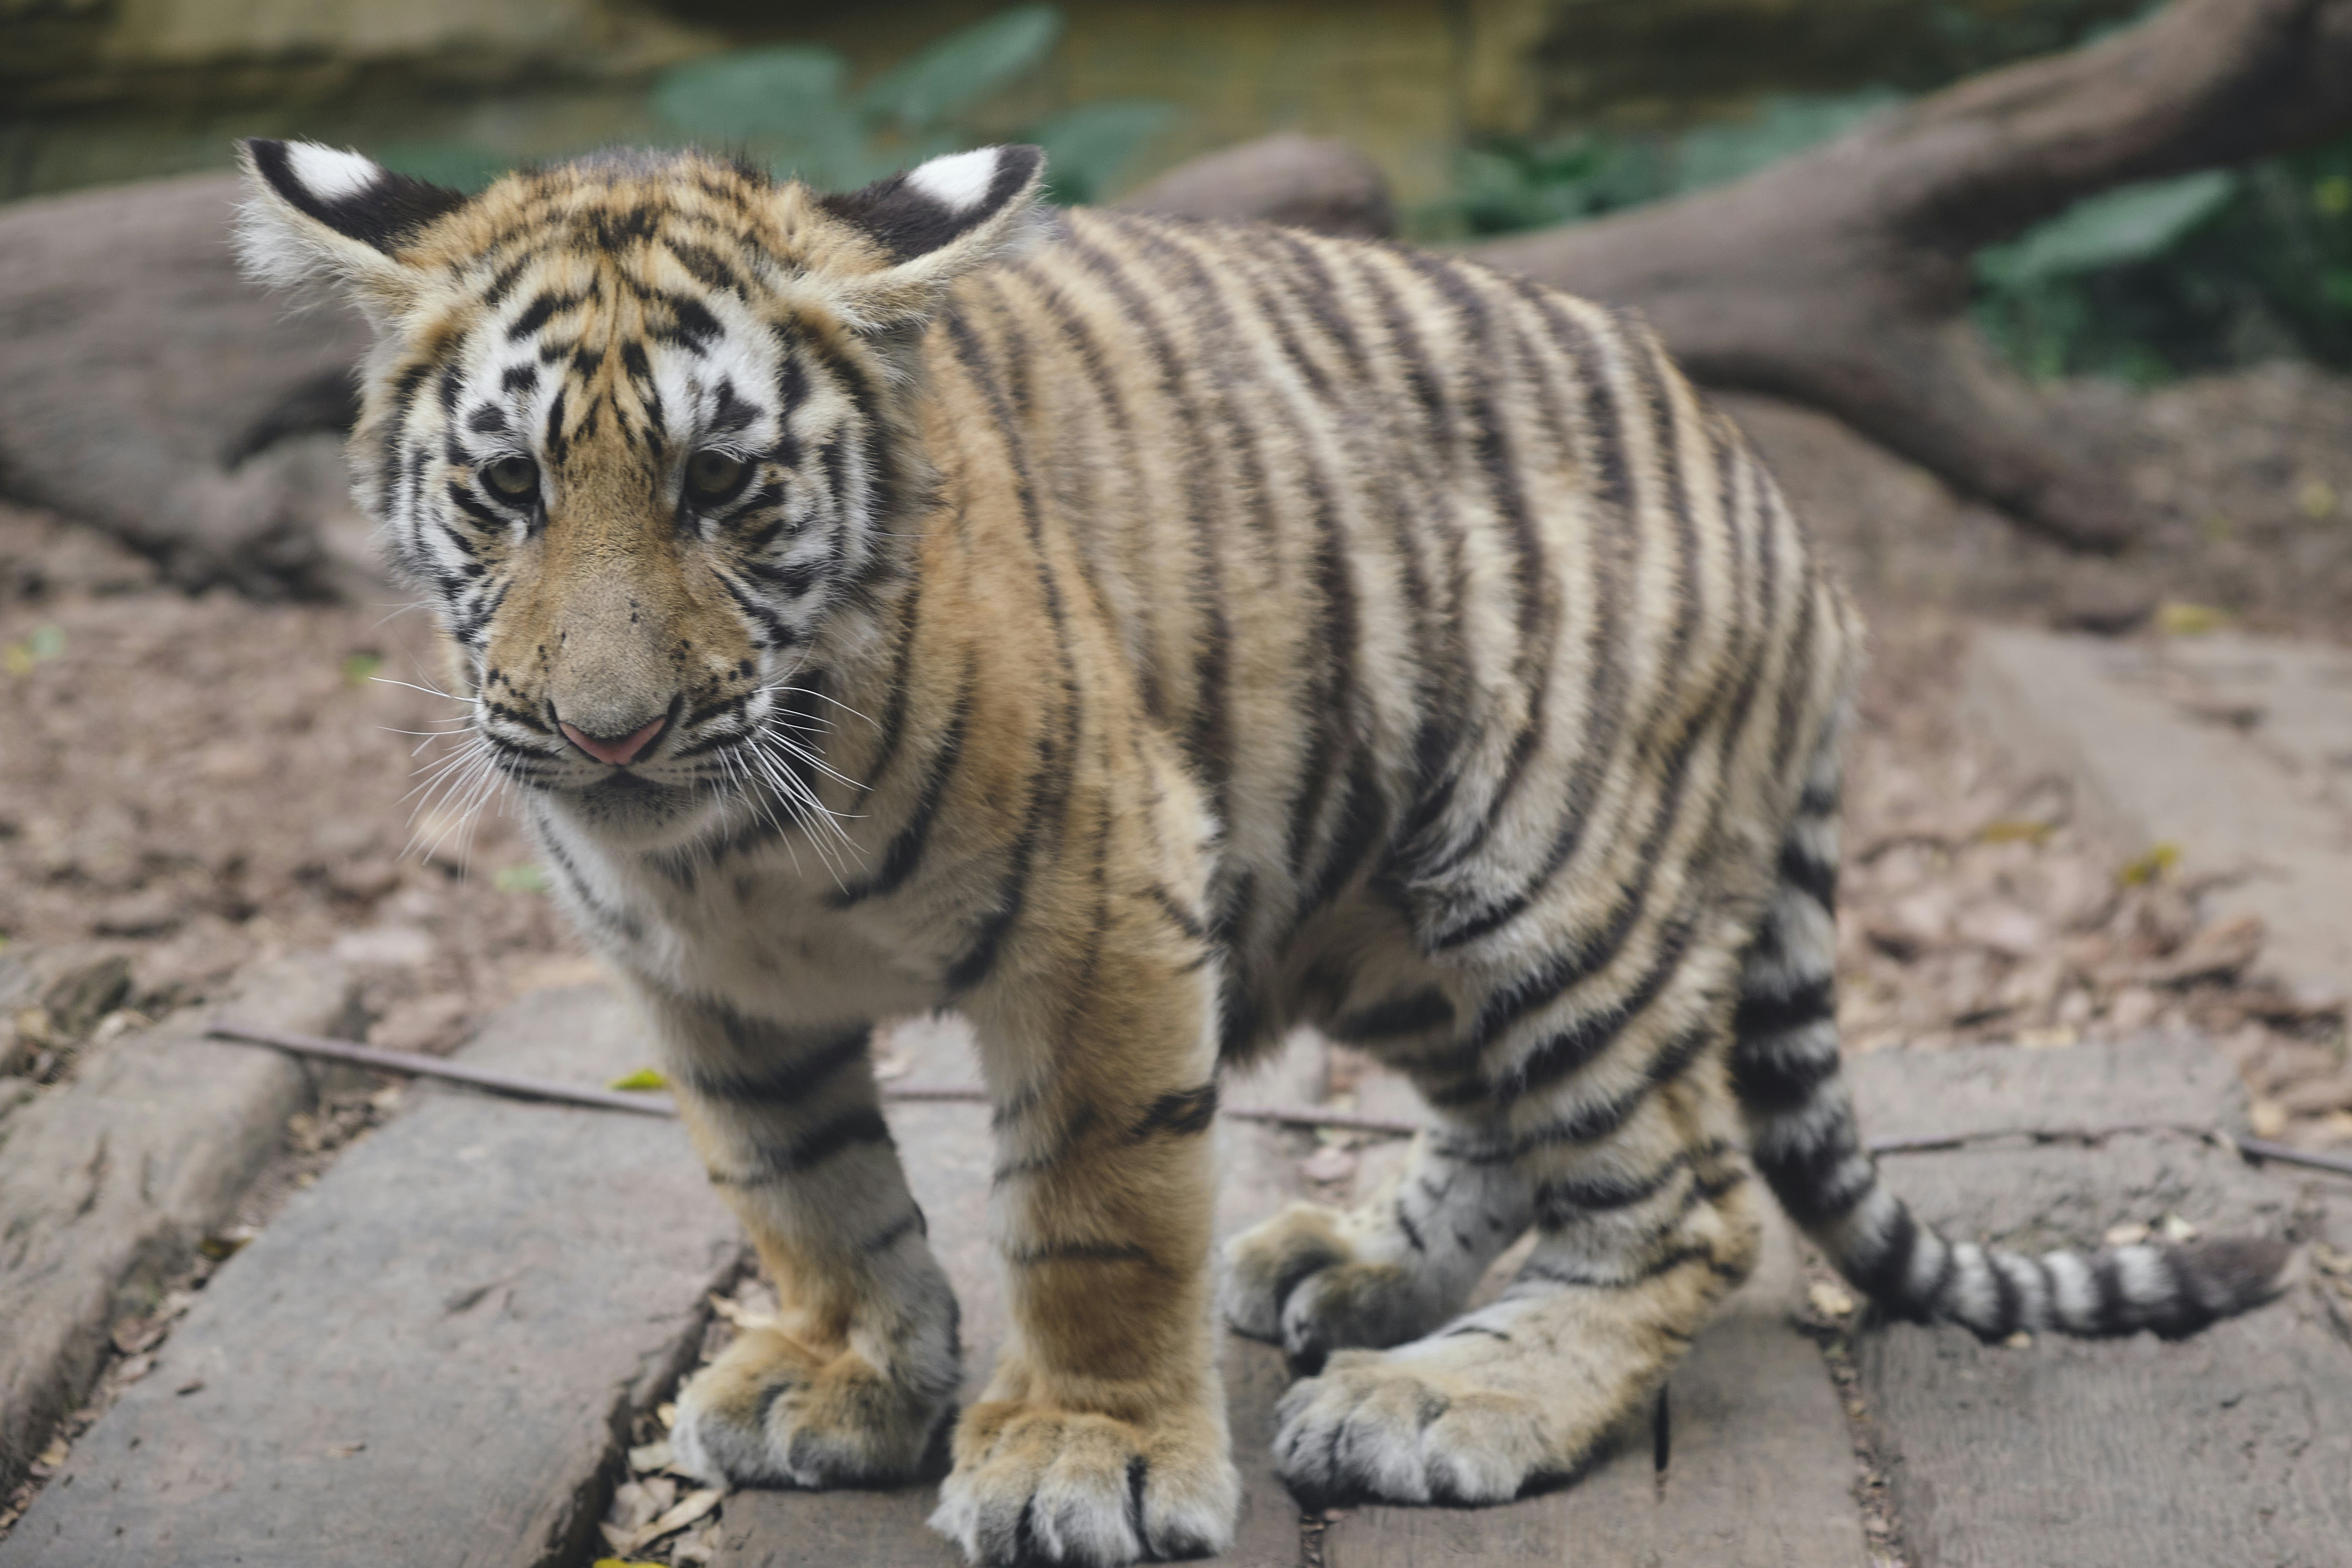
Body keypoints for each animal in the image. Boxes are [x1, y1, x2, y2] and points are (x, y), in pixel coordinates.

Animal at [236, 136, 2289, 1565]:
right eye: (505, 490)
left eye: (720, 487)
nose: (608, 731)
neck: (731, 844)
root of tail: (1787, 520)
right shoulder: (705, 988)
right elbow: (801, 1187)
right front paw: (851, 1373)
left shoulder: (1104, 904)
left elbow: (1093, 1208)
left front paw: (1081, 1458)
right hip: (1383, 900)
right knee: (1511, 1128)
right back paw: (1352, 1269)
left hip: (1543, 868)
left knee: (1684, 1199)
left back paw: (1445, 1396)